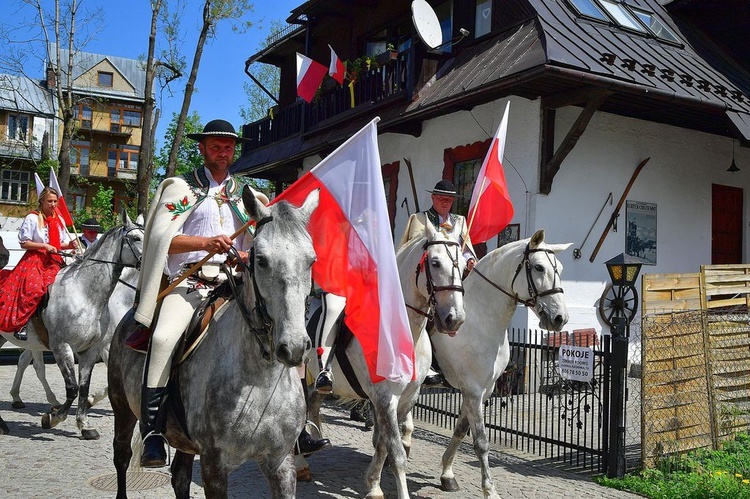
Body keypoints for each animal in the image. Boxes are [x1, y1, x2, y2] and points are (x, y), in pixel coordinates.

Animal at [0, 213, 143, 440]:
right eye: (136, 238)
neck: (85, 294)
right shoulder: (64, 347)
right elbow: (72, 388)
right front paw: (53, 418)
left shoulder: (90, 350)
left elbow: (83, 387)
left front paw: (84, 425)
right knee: (35, 366)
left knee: (27, 362)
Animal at [108, 188, 318, 499]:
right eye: (261, 260)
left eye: (311, 260)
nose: (293, 347)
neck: (260, 380)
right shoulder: (214, 465)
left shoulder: (281, 463)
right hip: (122, 408)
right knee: (121, 457)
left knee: (180, 476)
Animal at [308, 225, 468, 499]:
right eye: (435, 262)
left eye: (464, 266)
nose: (454, 319)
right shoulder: (385, 398)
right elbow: (396, 454)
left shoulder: (405, 398)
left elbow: (385, 445)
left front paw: (373, 485)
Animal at [432, 229, 572, 496]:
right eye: (538, 267)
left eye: (560, 268)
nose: (560, 318)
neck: (478, 320)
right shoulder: (473, 391)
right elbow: (481, 442)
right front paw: (489, 489)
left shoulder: (482, 391)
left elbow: (460, 431)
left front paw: (447, 475)